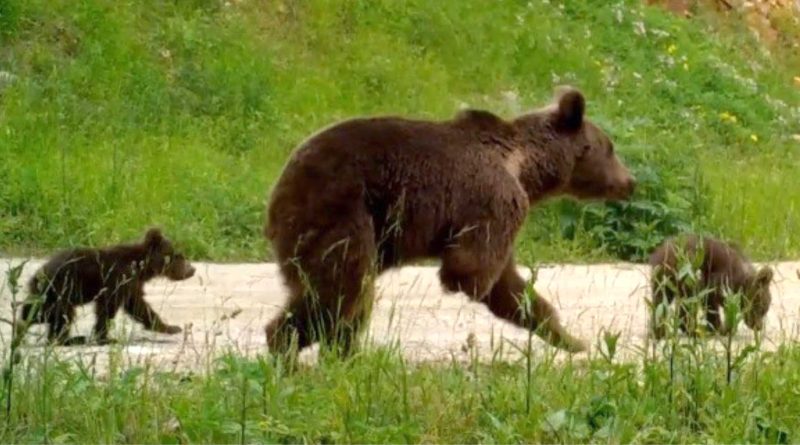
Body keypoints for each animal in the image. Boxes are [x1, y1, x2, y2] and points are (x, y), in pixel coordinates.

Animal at [12, 229, 195, 346]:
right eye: (178, 255)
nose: (192, 270)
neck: (140, 267)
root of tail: (38, 275)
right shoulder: (118, 278)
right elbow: (107, 309)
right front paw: (105, 337)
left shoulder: (130, 284)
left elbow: (139, 307)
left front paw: (170, 327)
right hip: (60, 290)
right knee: (59, 315)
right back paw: (70, 339)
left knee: (41, 312)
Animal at [266, 86, 636, 356]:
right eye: (609, 147)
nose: (630, 182)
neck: (525, 167)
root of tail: (278, 189)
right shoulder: (494, 202)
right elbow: (470, 272)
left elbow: (510, 287)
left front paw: (572, 340)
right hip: (340, 210)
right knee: (341, 289)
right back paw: (297, 347)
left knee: (343, 296)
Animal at [648, 234, 776, 338]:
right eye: (762, 308)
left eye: (765, 309)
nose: (758, 326)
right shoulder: (719, 278)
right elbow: (711, 301)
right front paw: (721, 328)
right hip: (686, 270)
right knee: (685, 301)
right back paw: (692, 330)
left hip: (664, 279)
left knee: (660, 301)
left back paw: (660, 331)